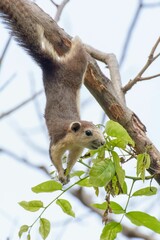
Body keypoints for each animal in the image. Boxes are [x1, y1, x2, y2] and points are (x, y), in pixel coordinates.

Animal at [0, 0, 105, 185]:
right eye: (88, 132)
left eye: (99, 130)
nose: (102, 142)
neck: (71, 139)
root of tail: (50, 65)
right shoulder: (57, 142)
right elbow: (54, 158)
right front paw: (61, 175)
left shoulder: (77, 148)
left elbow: (72, 159)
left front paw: (67, 172)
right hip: (76, 66)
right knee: (78, 51)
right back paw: (76, 40)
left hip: (77, 66)